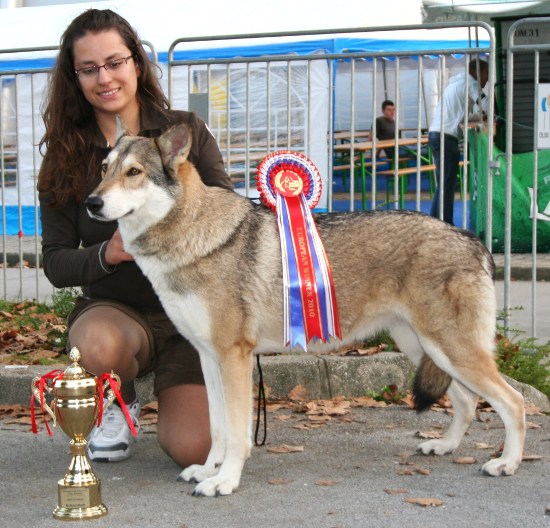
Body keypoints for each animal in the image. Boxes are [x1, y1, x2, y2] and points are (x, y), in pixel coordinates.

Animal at [85, 121, 528, 498]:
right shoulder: (208, 358)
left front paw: (225, 482)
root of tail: (471, 237)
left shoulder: (234, 358)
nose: (91, 202)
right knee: (467, 403)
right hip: (425, 350)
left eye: (134, 172)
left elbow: (237, 433)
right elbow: (218, 429)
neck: (193, 236)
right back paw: (445, 446)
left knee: (513, 402)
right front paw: (209, 470)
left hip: (450, 351)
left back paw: (506, 463)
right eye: (104, 169)